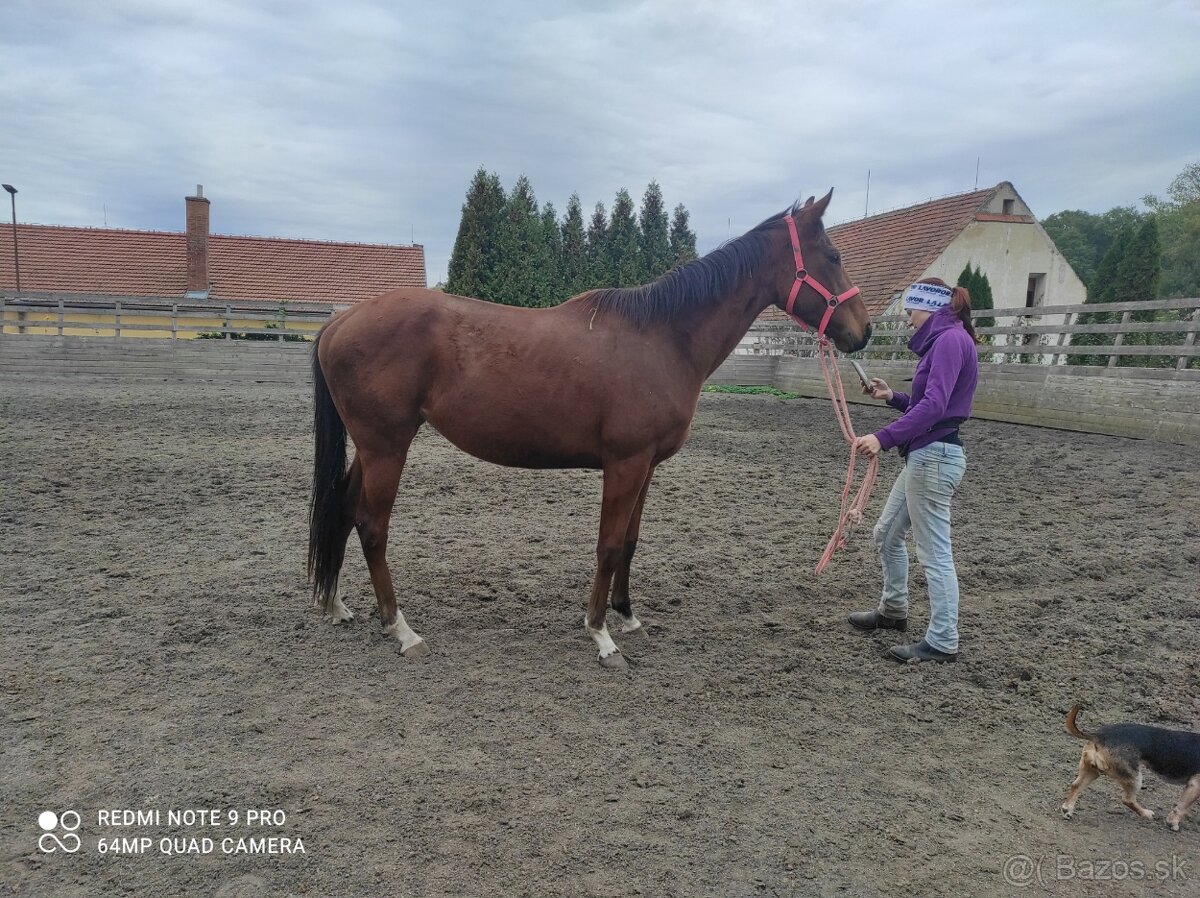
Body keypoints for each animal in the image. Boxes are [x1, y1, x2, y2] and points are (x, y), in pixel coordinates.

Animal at [307, 189, 873, 667]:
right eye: (834, 257)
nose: (863, 332)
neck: (662, 337)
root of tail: (339, 321)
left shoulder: (647, 465)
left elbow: (631, 541)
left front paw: (627, 616)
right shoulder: (624, 463)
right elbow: (608, 543)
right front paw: (600, 635)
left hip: (373, 448)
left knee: (341, 506)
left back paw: (336, 605)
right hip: (387, 447)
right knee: (372, 527)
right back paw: (402, 630)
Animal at [1060, 705, 1200, 830]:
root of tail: (1100, 735)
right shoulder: (1195, 785)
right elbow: (1182, 807)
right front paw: (1173, 823)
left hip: (1092, 770)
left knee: (1076, 785)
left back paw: (1067, 809)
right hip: (1134, 776)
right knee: (1128, 799)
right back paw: (1145, 813)